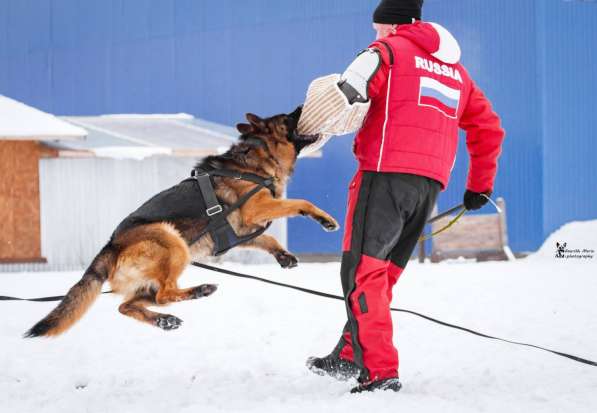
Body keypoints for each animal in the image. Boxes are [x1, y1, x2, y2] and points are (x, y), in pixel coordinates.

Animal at [25, 108, 338, 336]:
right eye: (288, 117)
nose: (302, 105)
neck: (258, 152)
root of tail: (111, 247)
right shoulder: (256, 208)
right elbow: (301, 203)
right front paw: (325, 219)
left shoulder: (244, 228)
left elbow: (269, 238)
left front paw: (284, 255)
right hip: (172, 242)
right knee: (164, 294)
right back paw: (198, 291)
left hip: (151, 278)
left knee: (128, 306)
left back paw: (164, 319)